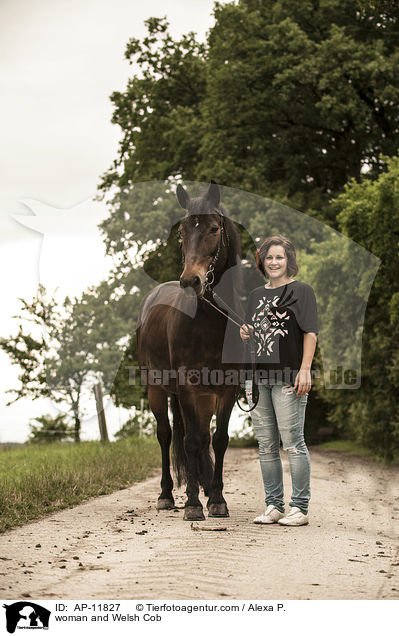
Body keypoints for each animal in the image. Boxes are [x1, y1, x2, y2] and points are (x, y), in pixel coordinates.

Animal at [137, 181, 244, 520]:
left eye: (213, 228)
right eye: (182, 232)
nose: (191, 281)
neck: (210, 321)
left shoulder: (226, 388)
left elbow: (219, 440)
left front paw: (217, 499)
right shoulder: (186, 386)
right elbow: (192, 441)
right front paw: (194, 504)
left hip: (205, 397)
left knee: (205, 436)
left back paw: (206, 489)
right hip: (157, 388)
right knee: (167, 434)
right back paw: (168, 495)